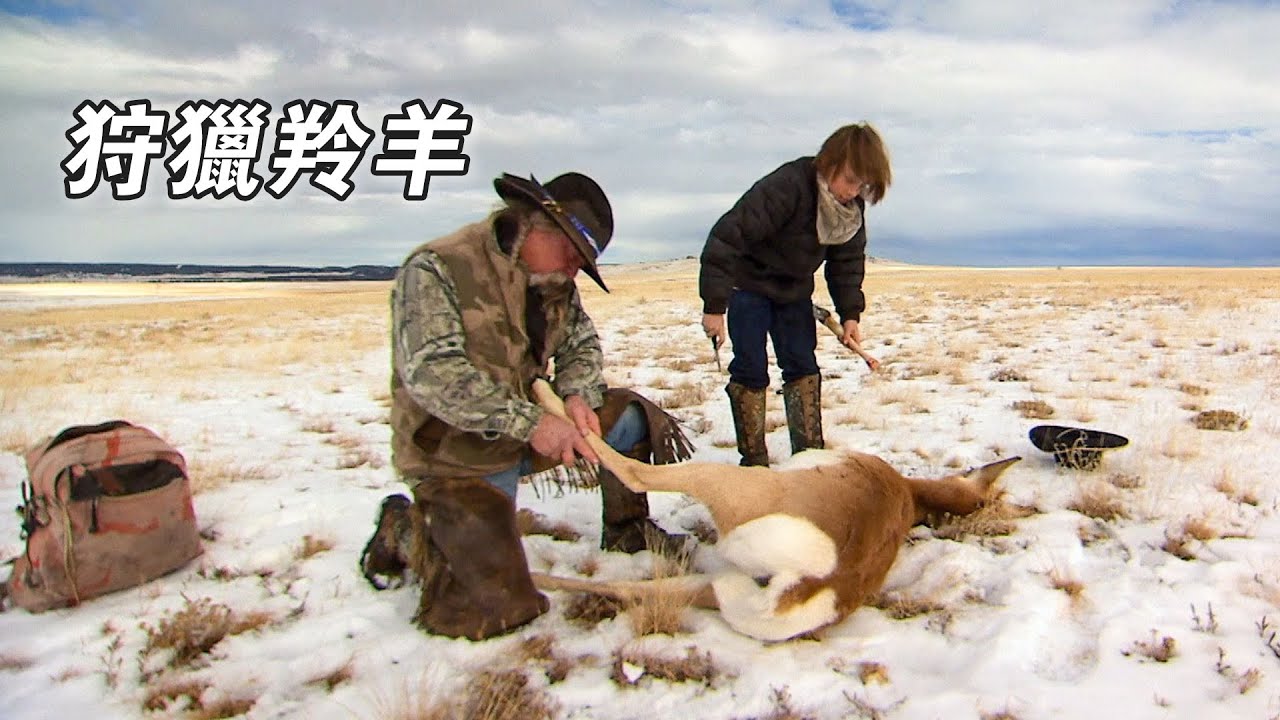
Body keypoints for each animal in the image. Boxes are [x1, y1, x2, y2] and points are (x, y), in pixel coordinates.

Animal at [530, 379, 1020, 642]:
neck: (904, 489)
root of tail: (821, 582)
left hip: (722, 486)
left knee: (632, 472)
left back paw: (545, 394)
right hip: (710, 587)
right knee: (619, 588)